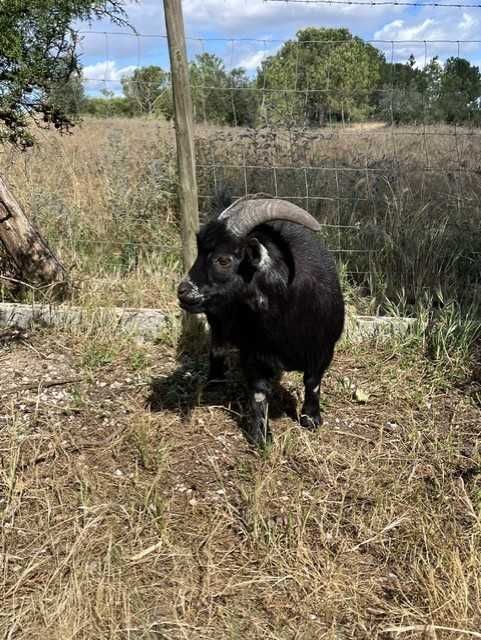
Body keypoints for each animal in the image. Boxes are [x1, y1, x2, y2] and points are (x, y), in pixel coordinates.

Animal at [177, 197, 345, 446]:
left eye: (223, 259)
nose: (183, 291)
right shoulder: (254, 352)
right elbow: (258, 391)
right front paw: (261, 435)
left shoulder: (323, 349)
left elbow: (312, 382)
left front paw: (311, 418)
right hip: (216, 317)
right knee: (217, 346)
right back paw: (215, 381)